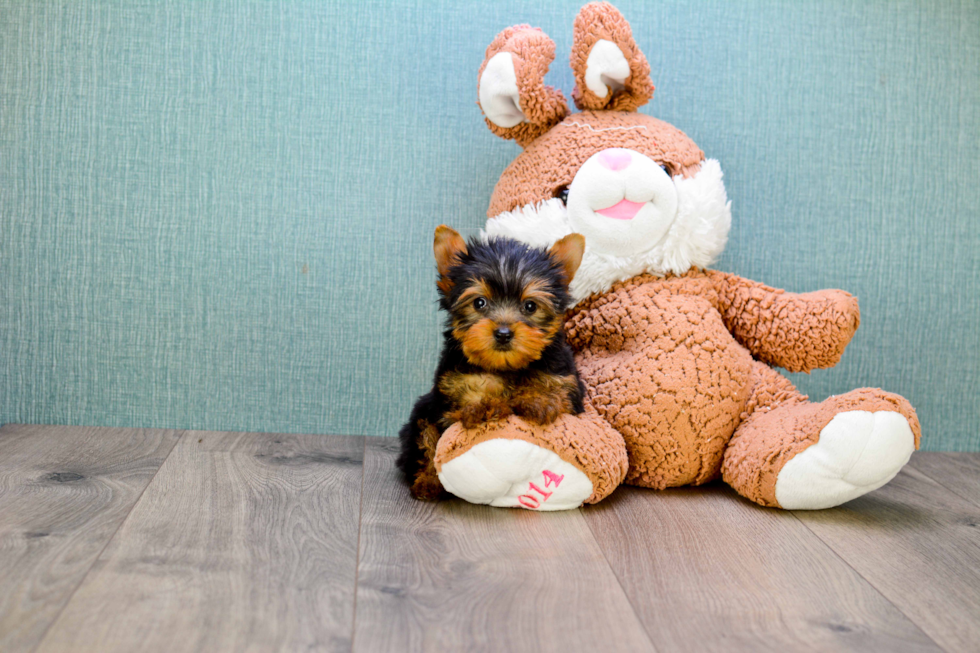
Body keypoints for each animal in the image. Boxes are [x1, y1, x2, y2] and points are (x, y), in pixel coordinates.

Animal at [396, 224, 584, 500]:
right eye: (479, 302)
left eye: (530, 306)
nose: (503, 333)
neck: (507, 367)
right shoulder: (451, 389)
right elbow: (463, 407)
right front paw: (485, 406)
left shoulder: (565, 381)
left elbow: (556, 394)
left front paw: (538, 399)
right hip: (421, 415)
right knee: (428, 442)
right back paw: (428, 483)